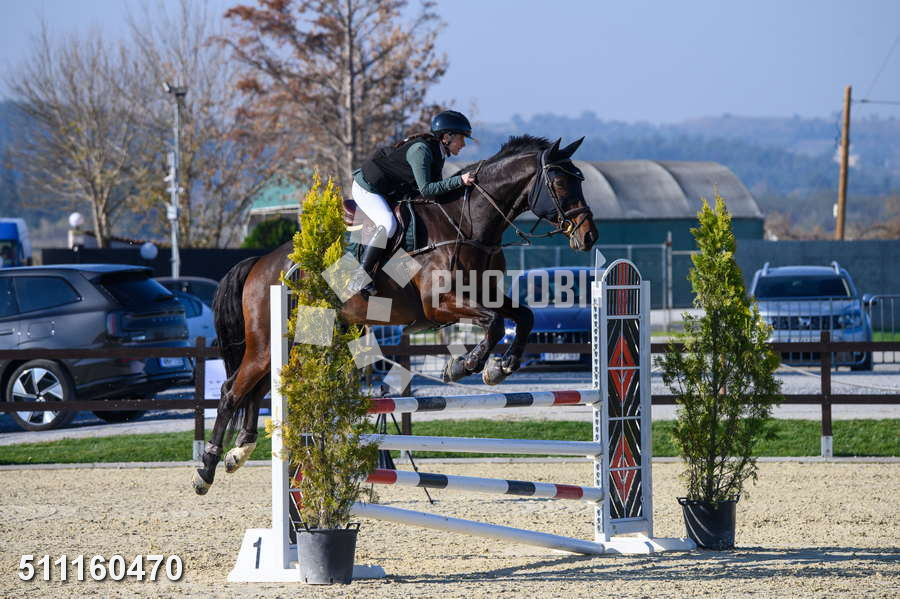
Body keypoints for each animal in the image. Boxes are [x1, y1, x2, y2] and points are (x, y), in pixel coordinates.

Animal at [193, 135, 598, 494]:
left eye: (579, 180)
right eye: (559, 182)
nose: (589, 236)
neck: (467, 223)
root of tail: (261, 263)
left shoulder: (488, 294)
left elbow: (524, 316)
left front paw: (500, 368)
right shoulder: (443, 304)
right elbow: (495, 323)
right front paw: (465, 365)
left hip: (290, 340)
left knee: (257, 388)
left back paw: (239, 452)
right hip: (267, 339)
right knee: (232, 391)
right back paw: (207, 469)